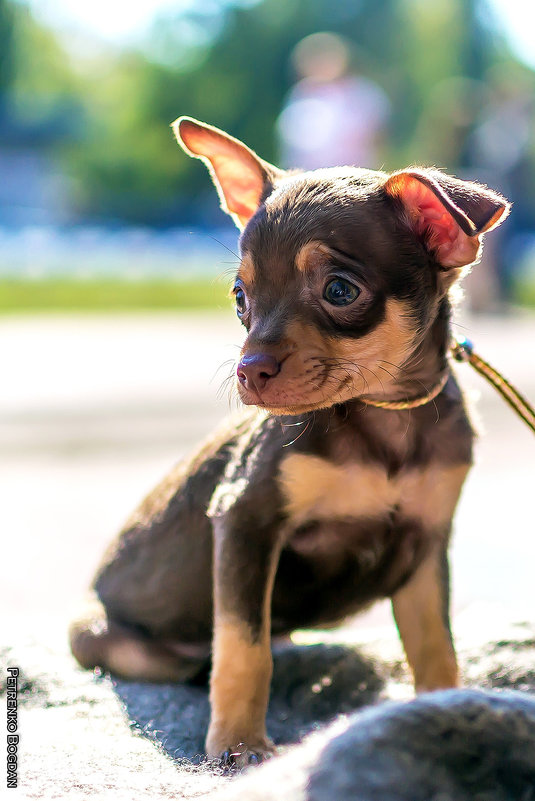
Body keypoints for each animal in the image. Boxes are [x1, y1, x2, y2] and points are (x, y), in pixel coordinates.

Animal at [70, 115, 510, 764]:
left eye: (340, 291)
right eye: (240, 298)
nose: (249, 370)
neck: (385, 414)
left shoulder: (425, 548)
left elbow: (436, 646)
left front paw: (446, 709)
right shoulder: (247, 522)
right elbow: (244, 647)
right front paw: (238, 746)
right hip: (107, 638)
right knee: (204, 654)